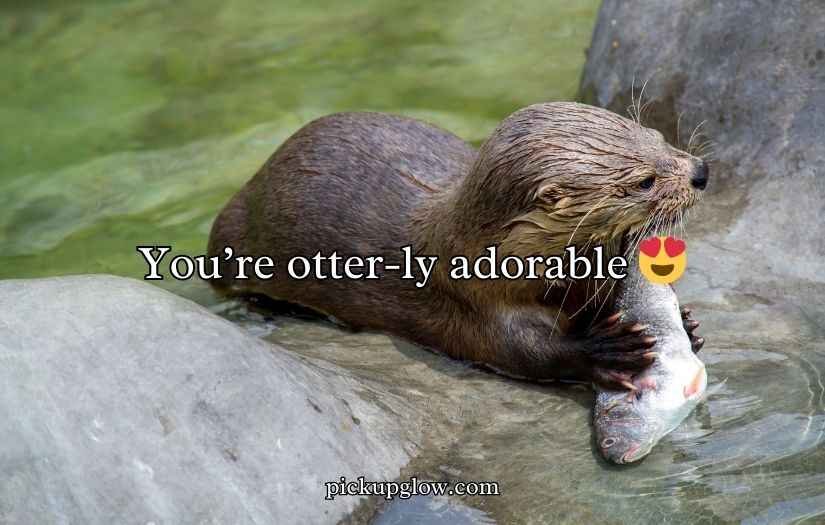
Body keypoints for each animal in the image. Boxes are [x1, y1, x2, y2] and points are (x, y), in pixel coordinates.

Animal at [208, 102, 706, 390]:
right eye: (643, 181)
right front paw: (606, 348)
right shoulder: (475, 306)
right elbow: (528, 355)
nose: (700, 171)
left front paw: (686, 323)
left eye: (660, 138)